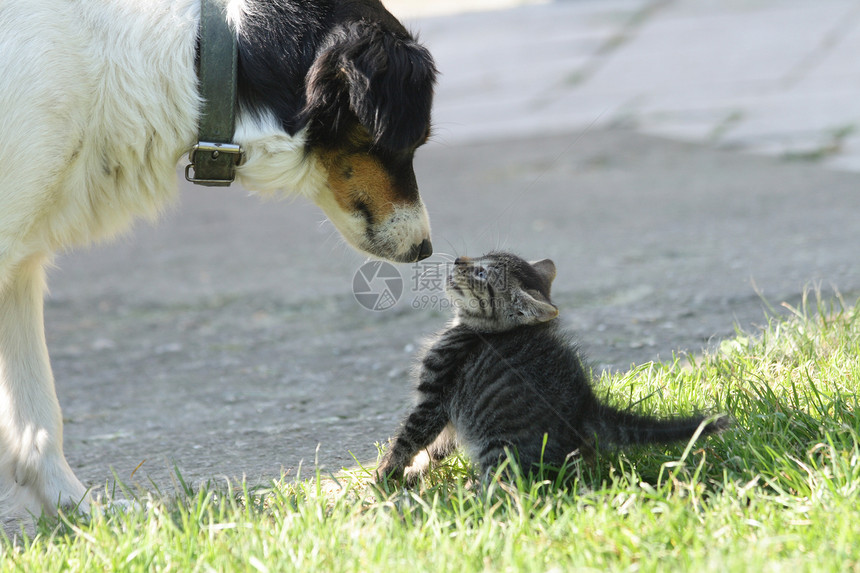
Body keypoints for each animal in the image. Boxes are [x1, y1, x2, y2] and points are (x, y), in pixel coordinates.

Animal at [0, 0, 436, 524]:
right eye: (411, 141)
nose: (426, 249)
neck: (194, 53)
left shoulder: (20, 265)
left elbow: (38, 415)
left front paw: (79, 513)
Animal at [376, 252, 724, 480]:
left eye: (482, 273)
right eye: (479, 255)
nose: (459, 260)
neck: (477, 330)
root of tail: (586, 405)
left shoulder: (435, 396)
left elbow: (410, 437)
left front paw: (385, 475)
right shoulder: (451, 415)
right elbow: (435, 448)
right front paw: (413, 473)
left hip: (499, 449)